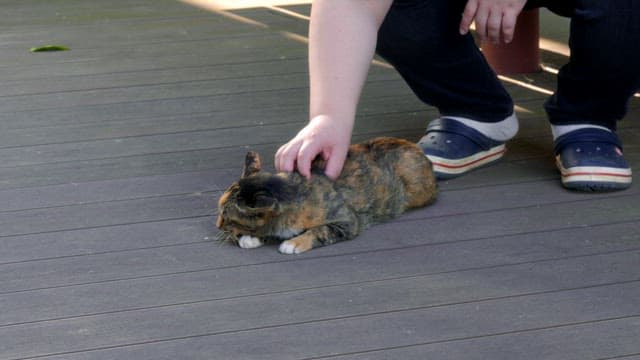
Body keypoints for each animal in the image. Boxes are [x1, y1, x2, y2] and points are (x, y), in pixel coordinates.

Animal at [218, 136, 438, 255]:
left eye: (226, 217)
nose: (218, 225)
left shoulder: (347, 221)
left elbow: (320, 230)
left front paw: (293, 243)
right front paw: (251, 238)